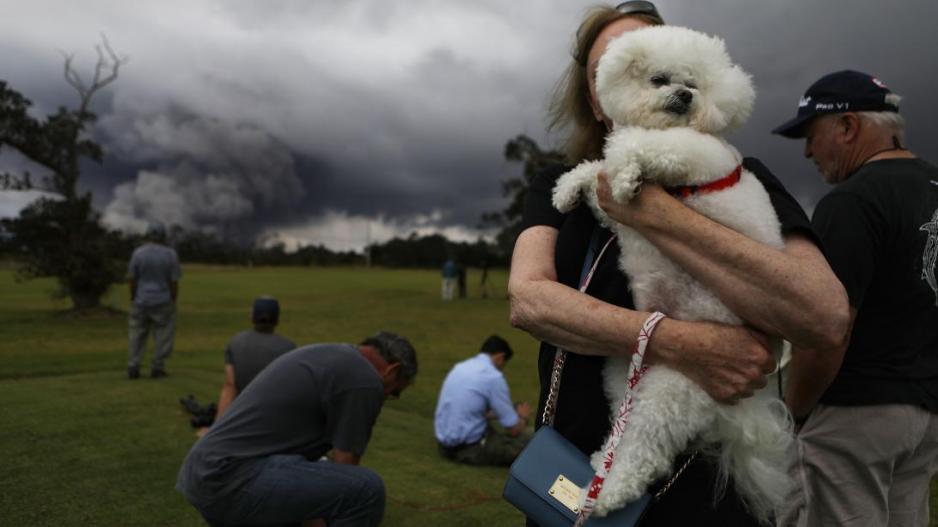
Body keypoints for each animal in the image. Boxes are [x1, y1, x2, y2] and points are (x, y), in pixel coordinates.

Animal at [552, 25, 792, 524]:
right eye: (660, 79)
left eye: (694, 85)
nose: (684, 96)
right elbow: (596, 176)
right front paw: (569, 188)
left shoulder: (693, 155)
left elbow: (634, 150)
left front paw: (624, 174)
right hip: (623, 368)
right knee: (625, 427)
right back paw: (599, 462)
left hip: (674, 390)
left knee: (645, 452)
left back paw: (602, 494)